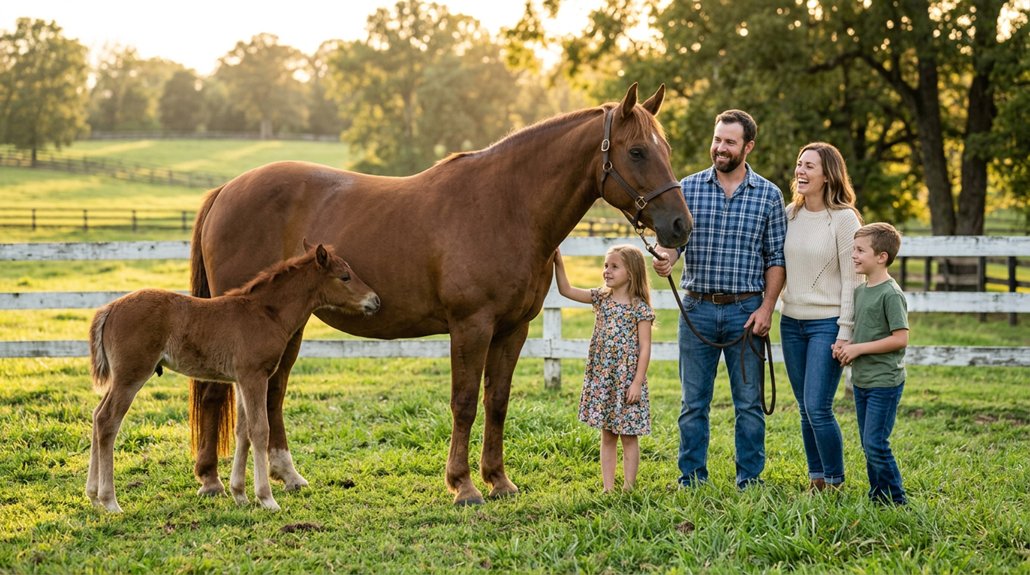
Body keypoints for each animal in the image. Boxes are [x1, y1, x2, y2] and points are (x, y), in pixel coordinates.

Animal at [86, 242, 380, 512]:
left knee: (97, 415)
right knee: (108, 420)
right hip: (131, 375)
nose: (375, 300)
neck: (266, 313)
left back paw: (92, 495)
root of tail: (109, 308)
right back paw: (109, 500)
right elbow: (260, 430)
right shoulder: (255, 376)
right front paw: (266, 498)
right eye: (345, 276)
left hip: (120, 378)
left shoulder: (241, 380)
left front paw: (240, 494)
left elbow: (243, 431)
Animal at [189, 83, 694, 505]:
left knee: (274, 392)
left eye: (665, 149)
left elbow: (497, 402)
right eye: (637, 151)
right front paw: (464, 485)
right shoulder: (471, 326)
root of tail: (226, 190)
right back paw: (212, 480)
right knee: (217, 392)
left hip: (288, 329)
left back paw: (287, 476)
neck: (507, 205)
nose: (680, 226)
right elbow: (464, 403)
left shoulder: (513, 329)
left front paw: (499, 481)